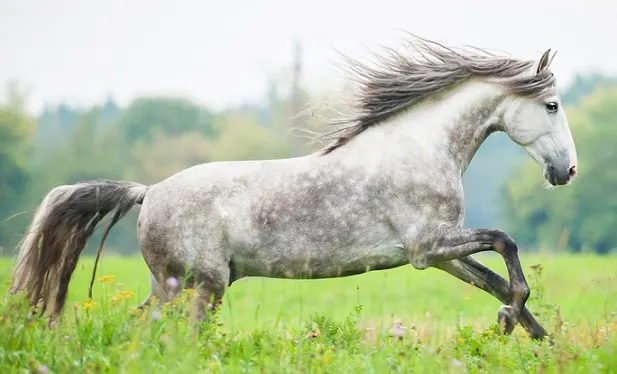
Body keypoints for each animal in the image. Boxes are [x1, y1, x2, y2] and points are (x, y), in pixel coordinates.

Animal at [9, 35, 576, 338]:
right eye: (551, 105)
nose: (567, 172)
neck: (420, 148)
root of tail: (148, 192)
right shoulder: (427, 246)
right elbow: (506, 244)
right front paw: (510, 321)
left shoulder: (440, 253)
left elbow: (496, 280)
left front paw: (535, 336)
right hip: (200, 287)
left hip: (171, 286)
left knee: (140, 329)